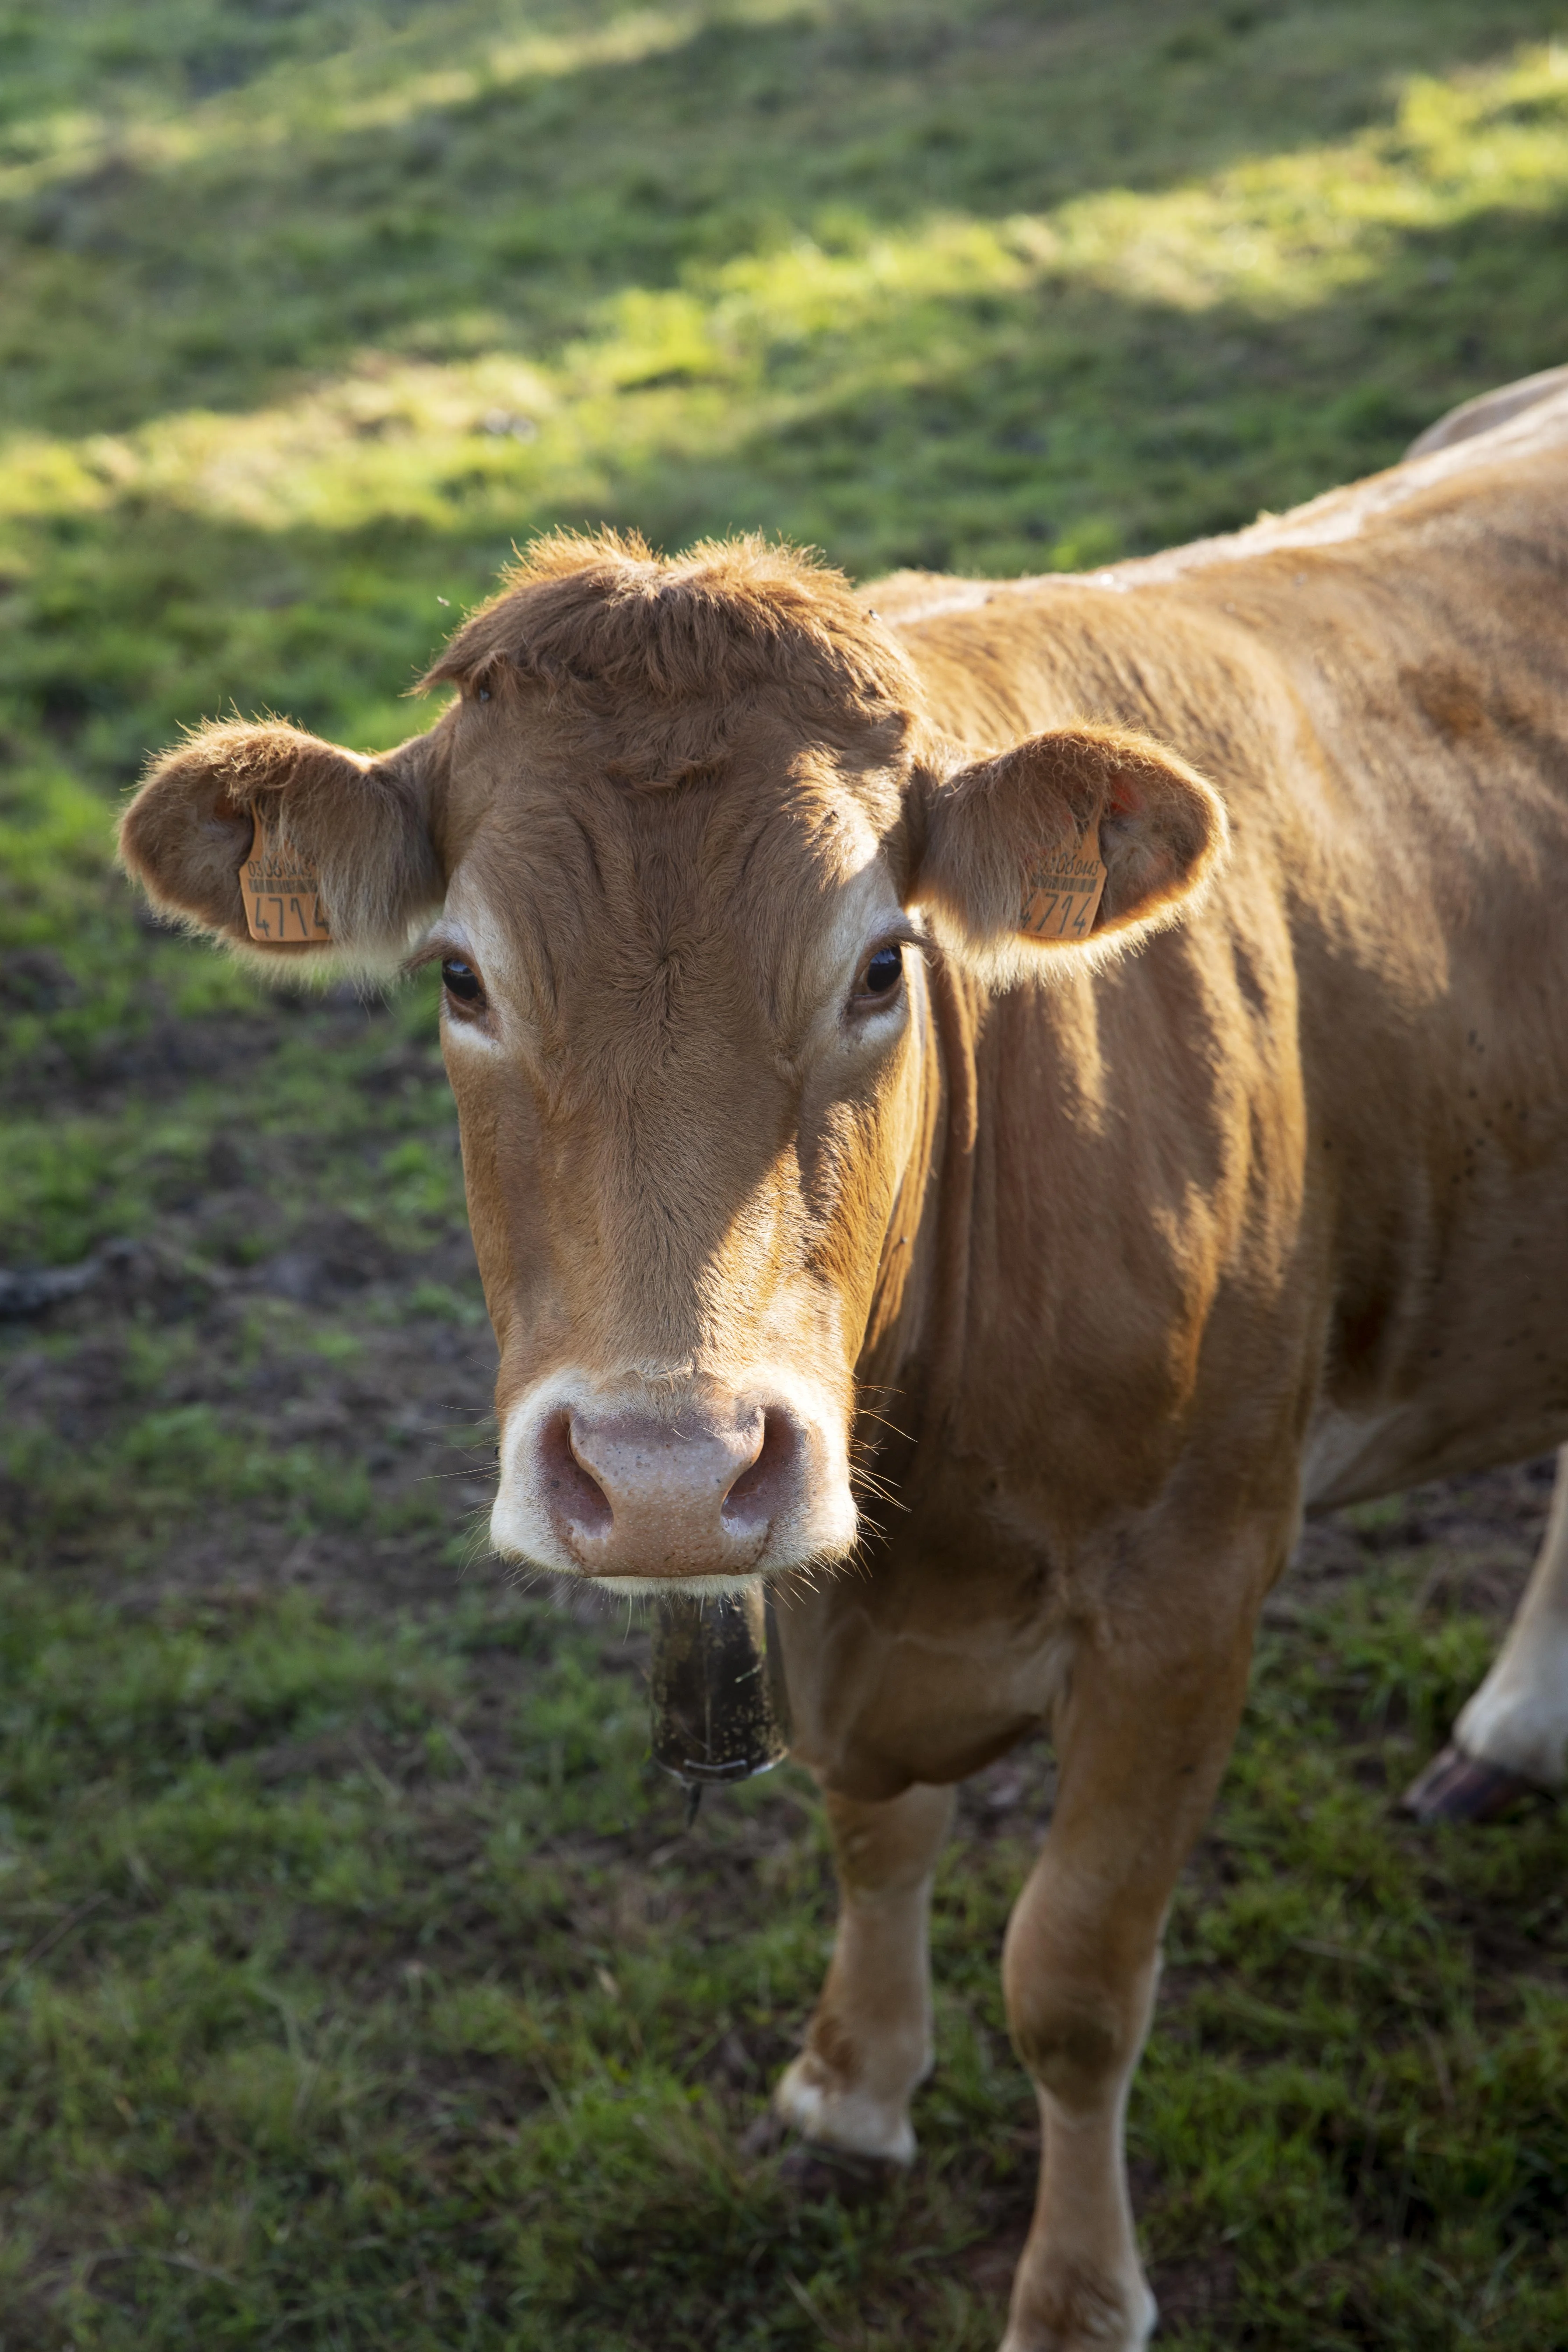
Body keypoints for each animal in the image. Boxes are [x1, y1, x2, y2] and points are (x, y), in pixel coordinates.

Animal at [119, 373, 1568, 2352]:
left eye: (880, 964)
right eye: (462, 979)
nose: (664, 1472)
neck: (924, 1499)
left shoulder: (1194, 1583)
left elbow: (1075, 1971)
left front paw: (1074, 2290)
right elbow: (875, 1836)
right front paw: (851, 2088)